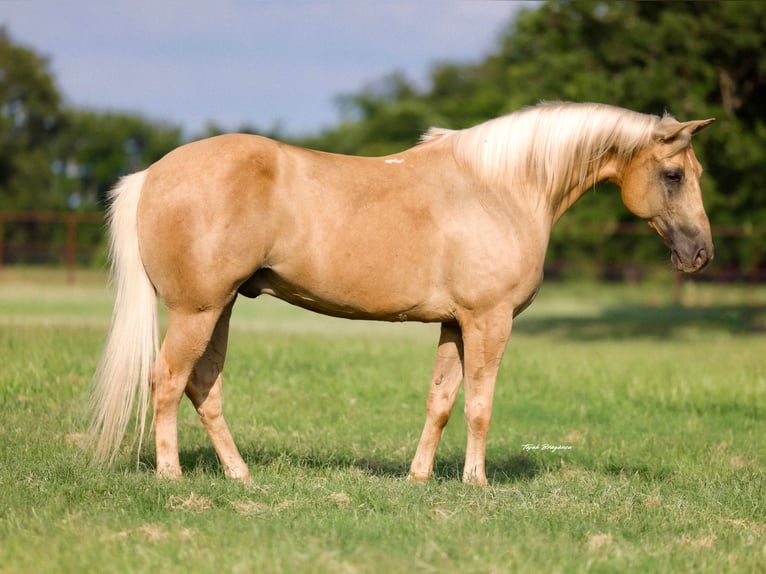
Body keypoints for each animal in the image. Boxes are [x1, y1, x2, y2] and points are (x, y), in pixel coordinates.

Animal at [88, 102, 714, 486]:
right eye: (675, 175)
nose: (701, 253)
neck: (501, 188)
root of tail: (153, 174)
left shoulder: (455, 323)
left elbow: (441, 401)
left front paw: (419, 477)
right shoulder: (489, 320)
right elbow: (480, 404)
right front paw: (477, 482)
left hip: (220, 309)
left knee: (203, 387)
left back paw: (241, 475)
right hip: (197, 311)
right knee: (168, 381)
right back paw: (172, 474)